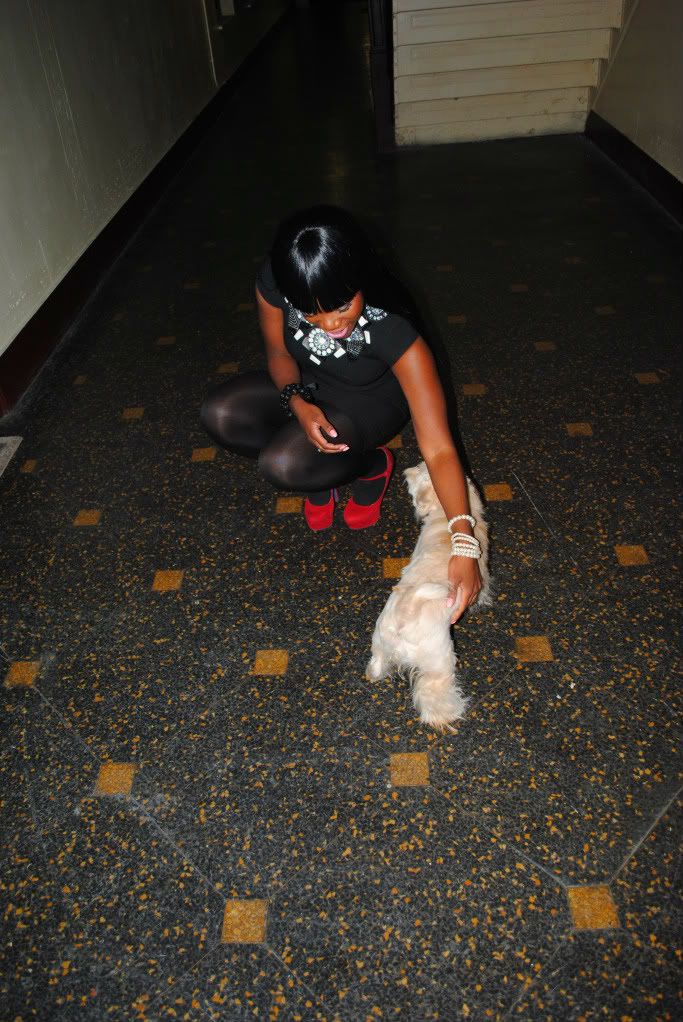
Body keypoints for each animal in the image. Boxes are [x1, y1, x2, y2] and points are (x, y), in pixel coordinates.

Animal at [367, 462, 492, 731]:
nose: (406, 472)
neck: (444, 518)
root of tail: (407, 612)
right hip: (439, 662)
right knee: (432, 695)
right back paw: (449, 713)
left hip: (380, 642)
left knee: (377, 662)